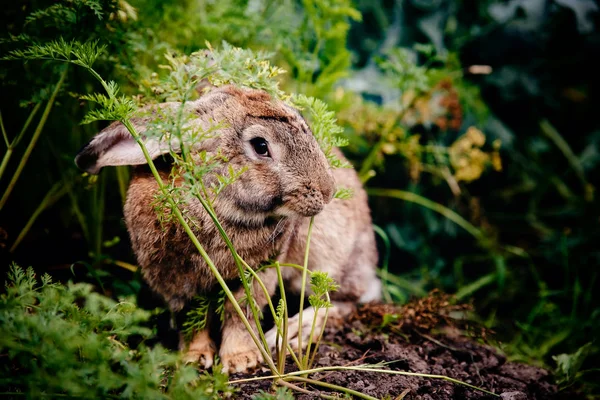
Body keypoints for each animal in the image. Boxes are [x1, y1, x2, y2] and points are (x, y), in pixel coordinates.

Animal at [75, 85, 382, 376]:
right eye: (260, 145)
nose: (328, 190)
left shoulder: (258, 272)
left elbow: (241, 313)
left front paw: (240, 361)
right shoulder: (175, 282)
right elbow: (190, 320)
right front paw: (193, 358)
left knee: (339, 301)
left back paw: (293, 333)